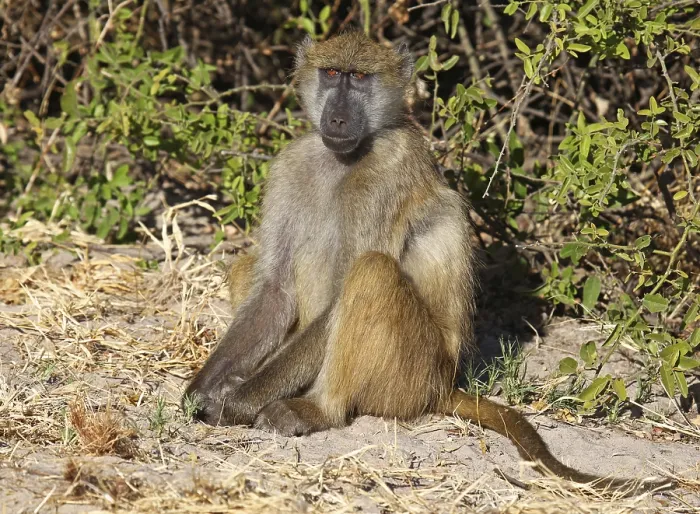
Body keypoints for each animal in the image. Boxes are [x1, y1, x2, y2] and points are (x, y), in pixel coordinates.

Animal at [185, 32, 670, 493]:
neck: (343, 159)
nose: (337, 119)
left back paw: (316, 410)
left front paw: (237, 403)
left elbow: (341, 296)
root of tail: (444, 387)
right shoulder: (291, 165)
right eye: (331, 73)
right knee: (249, 268)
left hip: (409, 378)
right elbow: (274, 289)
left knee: (371, 272)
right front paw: (201, 392)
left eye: (359, 78)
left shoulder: (388, 173)